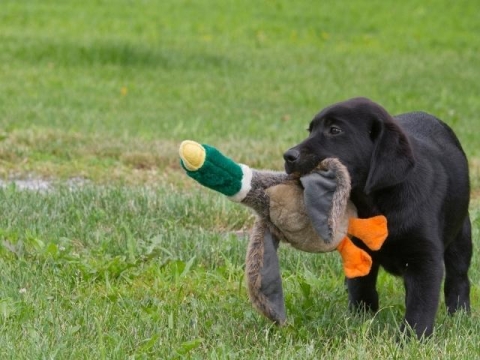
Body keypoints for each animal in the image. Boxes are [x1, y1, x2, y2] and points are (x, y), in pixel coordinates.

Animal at [284, 97, 470, 338]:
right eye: (311, 130)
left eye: (335, 130)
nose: (288, 156)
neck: (376, 203)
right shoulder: (358, 249)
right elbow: (361, 286)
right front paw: (360, 318)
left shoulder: (425, 258)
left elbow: (421, 303)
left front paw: (412, 337)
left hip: (461, 234)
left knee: (458, 277)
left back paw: (460, 313)